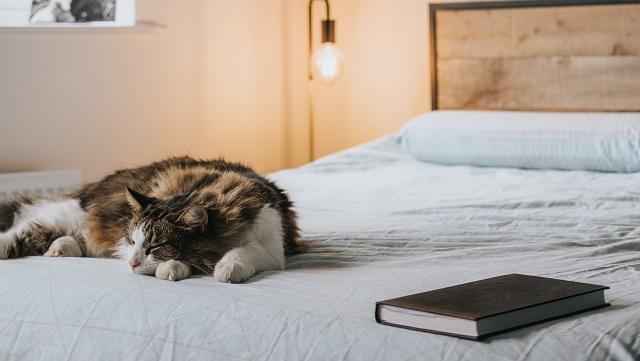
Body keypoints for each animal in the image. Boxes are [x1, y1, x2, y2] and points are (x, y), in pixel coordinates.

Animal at [0, 156, 302, 282]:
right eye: (133, 241)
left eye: (156, 246)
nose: (132, 263)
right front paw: (173, 268)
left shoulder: (272, 245)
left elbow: (242, 253)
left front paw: (226, 269)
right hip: (71, 214)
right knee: (26, 225)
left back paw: (60, 249)